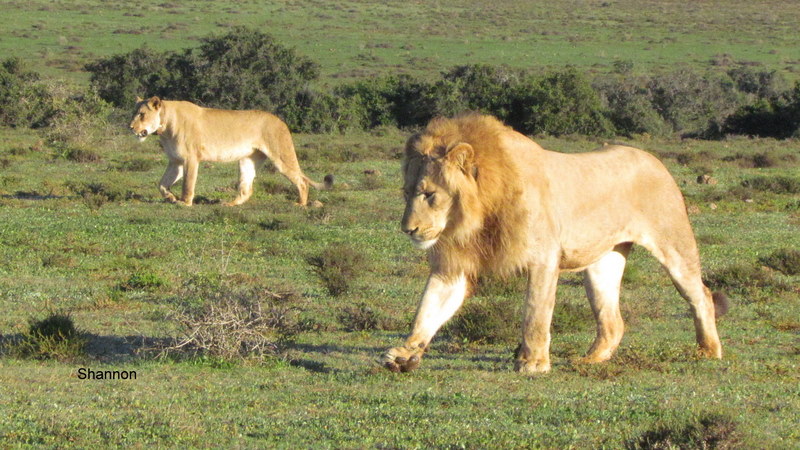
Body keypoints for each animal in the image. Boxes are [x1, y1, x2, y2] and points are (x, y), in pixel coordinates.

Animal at [129, 96, 332, 206]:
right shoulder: (176, 161)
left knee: (301, 181)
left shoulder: (190, 158)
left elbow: (188, 183)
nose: (130, 127)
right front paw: (170, 197)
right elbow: (162, 184)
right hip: (247, 160)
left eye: (142, 114)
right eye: (134, 113)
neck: (164, 127)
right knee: (246, 188)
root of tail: (280, 121)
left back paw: (301, 204)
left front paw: (184, 202)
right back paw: (230, 204)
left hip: (281, 156)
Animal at [383, 114, 728, 374]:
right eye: (406, 192)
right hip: (603, 264)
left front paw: (532, 363)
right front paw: (404, 354)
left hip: (674, 246)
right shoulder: (453, 267)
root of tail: (653, 158)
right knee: (612, 321)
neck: (475, 218)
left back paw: (709, 351)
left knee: (701, 295)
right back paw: (590, 360)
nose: (408, 229)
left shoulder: (543, 258)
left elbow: (535, 315)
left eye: (430, 194)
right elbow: (427, 311)